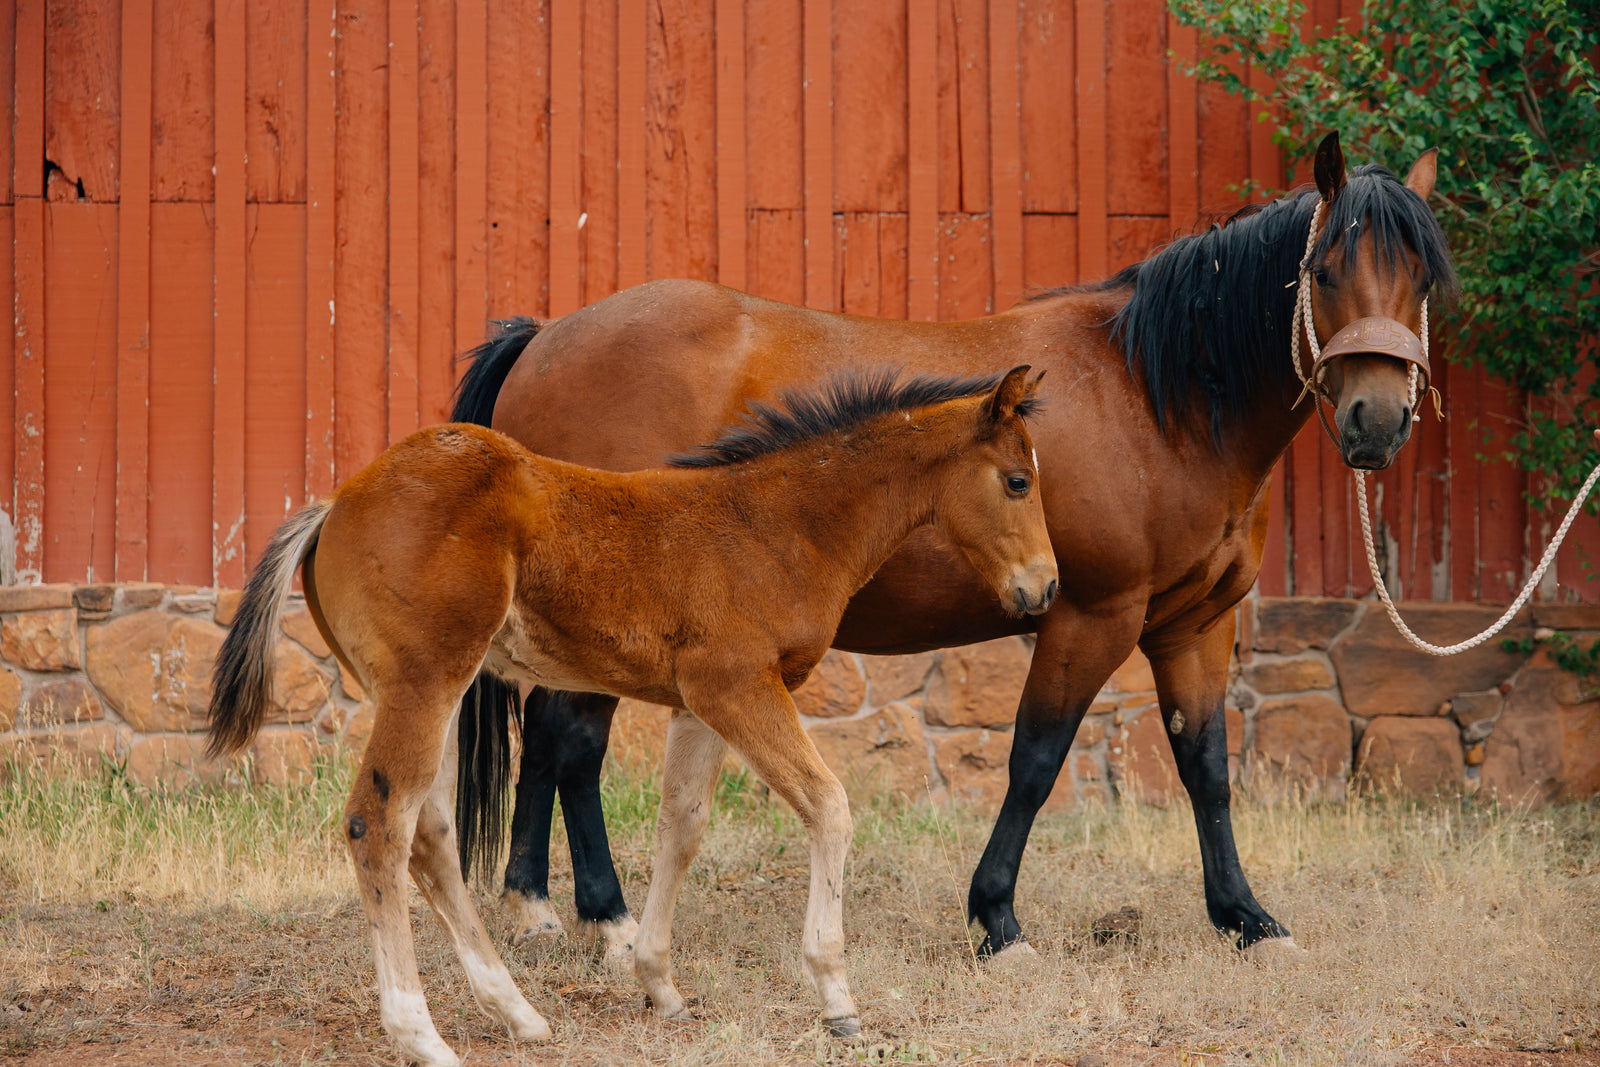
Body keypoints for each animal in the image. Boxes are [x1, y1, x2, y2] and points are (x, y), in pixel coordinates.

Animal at [206, 367, 1055, 1064]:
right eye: (1018, 480)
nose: (1043, 588)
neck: (780, 525)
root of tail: (334, 504)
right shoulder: (739, 687)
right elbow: (830, 806)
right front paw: (838, 999)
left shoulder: (701, 704)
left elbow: (682, 826)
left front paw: (660, 984)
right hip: (426, 682)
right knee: (378, 823)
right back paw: (421, 1032)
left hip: (434, 688)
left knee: (431, 832)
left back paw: (518, 1013)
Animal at [449, 132, 1456, 966]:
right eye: (1324, 271)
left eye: (1423, 280)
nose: (1376, 420)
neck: (1153, 396)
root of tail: (545, 338)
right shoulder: (1092, 614)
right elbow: (1037, 759)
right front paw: (998, 919)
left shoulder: (1193, 623)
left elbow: (1207, 767)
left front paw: (1245, 917)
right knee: (574, 743)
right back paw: (608, 916)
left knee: (546, 738)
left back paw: (538, 906)